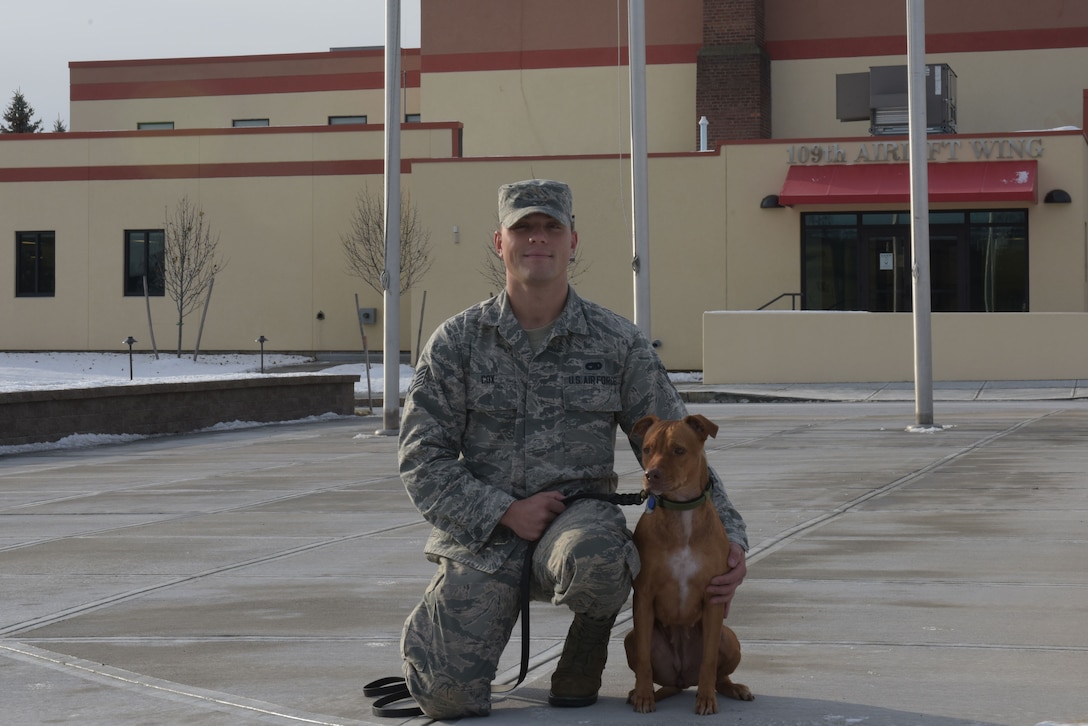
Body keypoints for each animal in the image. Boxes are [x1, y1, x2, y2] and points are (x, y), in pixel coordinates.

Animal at [626, 413, 752, 714]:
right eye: (647, 449)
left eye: (679, 450)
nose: (651, 475)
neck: (681, 512)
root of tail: (682, 679)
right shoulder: (644, 596)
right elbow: (644, 661)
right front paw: (644, 696)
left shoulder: (713, 597)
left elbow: (709, 661)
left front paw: (706, 699)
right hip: (631, 638)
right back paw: (640, 693)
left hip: (728, 637)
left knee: (719, 675)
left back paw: (732, 688)